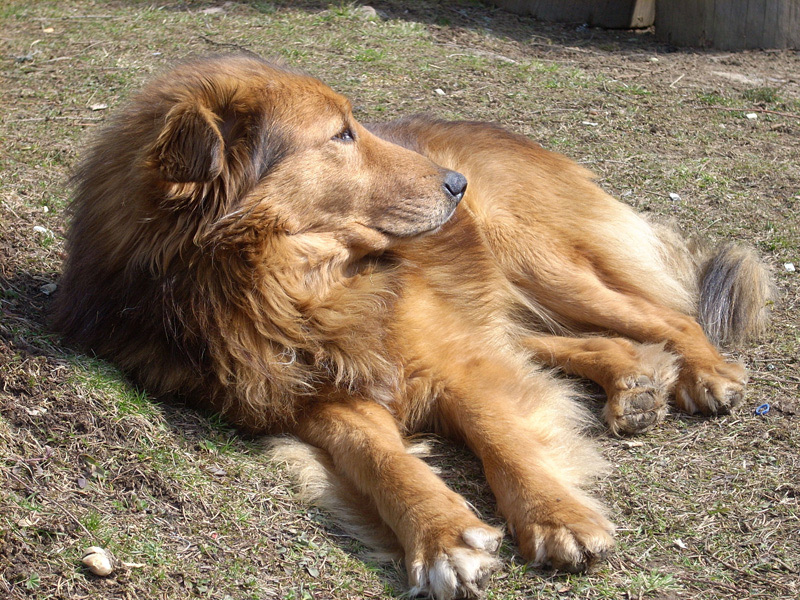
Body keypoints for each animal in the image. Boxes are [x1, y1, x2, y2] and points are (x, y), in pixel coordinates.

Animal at [51, 55, 776, 596]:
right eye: (342, 134)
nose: (456, 185)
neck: (292, 290)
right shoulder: (313, 396)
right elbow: (379, 457)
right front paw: (442, 535)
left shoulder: (452, 361)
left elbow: (500, 433)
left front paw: (555, 516)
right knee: (562, 340)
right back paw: (634, 380)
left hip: (536, 262)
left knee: (666, 313)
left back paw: (704, 372)